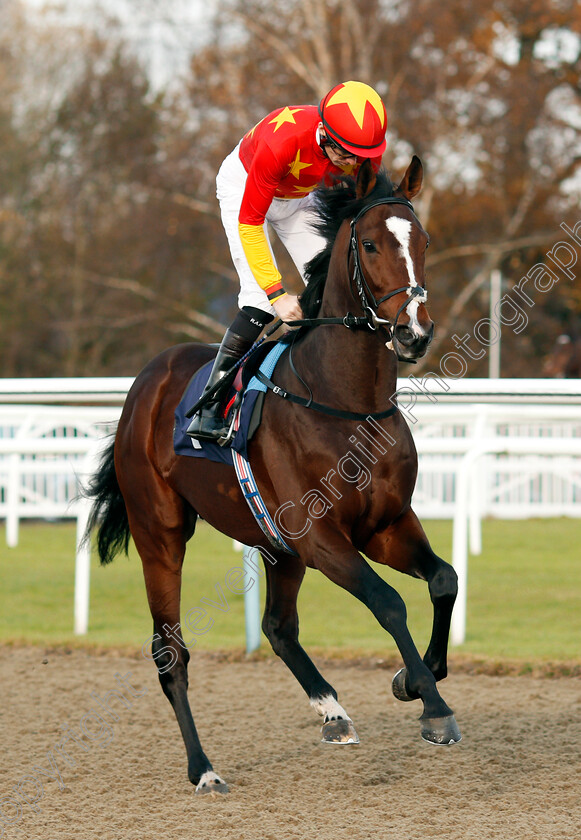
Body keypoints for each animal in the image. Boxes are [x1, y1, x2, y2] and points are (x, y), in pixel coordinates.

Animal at [85, 158, 458, 796]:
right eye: (370, 243)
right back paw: (204, 769)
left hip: (275, 543)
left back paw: (332, 712)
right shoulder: (323, 538)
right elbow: (388, 603)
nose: (414, 331)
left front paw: (415, 678)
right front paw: (432, 706)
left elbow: (443, 580)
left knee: (279, 626)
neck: (344, 401)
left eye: (424, 242)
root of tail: (145, 382)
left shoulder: (384, 526)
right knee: (170, 652)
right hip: (161, 533)